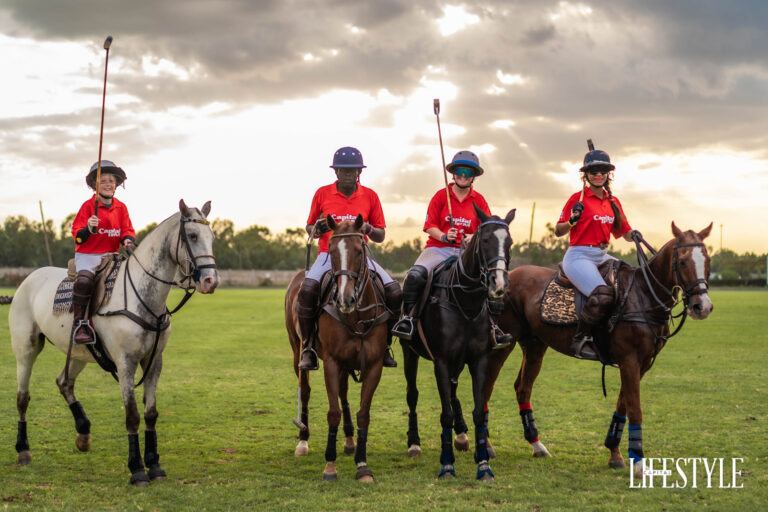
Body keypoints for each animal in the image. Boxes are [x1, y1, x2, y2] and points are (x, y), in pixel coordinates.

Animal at [8, 199, 219, 484]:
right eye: (194, 236)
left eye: (212, 237)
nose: (210, 281)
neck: (144, 297)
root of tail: (28, 278)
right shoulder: (125, 361)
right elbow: (132, 416)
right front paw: (137, 470)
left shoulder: (154, 361)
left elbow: (151, 414)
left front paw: (155, 465)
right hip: (26, 347)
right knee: (23, 397)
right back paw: (23, 450)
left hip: (79, 351)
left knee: (64, 382)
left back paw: (83, 434)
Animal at [284, 214, 392, 482]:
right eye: (331, 251)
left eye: (359, 251)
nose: (345, 299)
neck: (357, 316)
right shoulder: (332, 361)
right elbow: (332, 412)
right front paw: (329, 466)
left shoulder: (374, 364)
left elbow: (363, 413)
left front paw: (362, 465)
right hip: (296, 348)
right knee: (305, 389)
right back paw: (303, 440)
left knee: (343, 393)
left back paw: (350, 440)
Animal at [396, 204, 516, 480]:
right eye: (484, 240)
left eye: (510, 243)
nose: (499, 285)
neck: (465, 301)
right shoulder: (440, 360)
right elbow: (445, 414)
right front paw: (447, 465)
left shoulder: (478, 360)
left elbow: (479, 412)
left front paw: (483, 464)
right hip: (410, 352)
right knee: (412, 394)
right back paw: (414, 443)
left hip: (457, 363)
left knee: (452, 390)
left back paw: (461, 435)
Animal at [484, 222, 716, 478]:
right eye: (683, 261)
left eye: (707, 260)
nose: (702, 307)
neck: (644, 295)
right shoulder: (629, 360)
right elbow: (635, 409)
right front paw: (639, 463)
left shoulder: (641, 363)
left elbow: (623, 405)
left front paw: (615, 454)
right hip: (504, 342)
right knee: (486, 386)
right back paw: (487, 446)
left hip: (535, 344)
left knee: (522, 388)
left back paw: (537, 445)